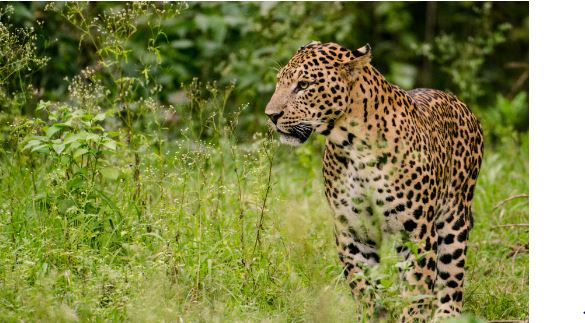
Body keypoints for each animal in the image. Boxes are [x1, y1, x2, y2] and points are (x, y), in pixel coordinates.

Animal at [264, 41, 484, 322]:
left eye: (303, 85)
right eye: (279, 82)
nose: (271, 115)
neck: (353, 146)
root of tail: (459, 102)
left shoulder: (417, 233)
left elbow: (416, 290)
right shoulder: (353, 232)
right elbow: (364, 287)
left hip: (454, 219)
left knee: (451, 279)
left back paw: (446, 314)